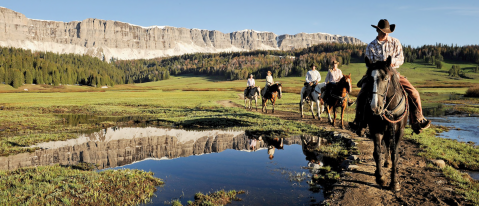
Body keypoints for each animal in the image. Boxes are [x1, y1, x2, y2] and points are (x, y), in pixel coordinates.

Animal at [368, 56, 408, 192]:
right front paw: (380, 178)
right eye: (368, 79)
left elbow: (395, 154)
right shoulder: (376, 129)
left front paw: (394, 183)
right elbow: (377, 153)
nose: (375, 108)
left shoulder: (399, 131)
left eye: (385, 78)